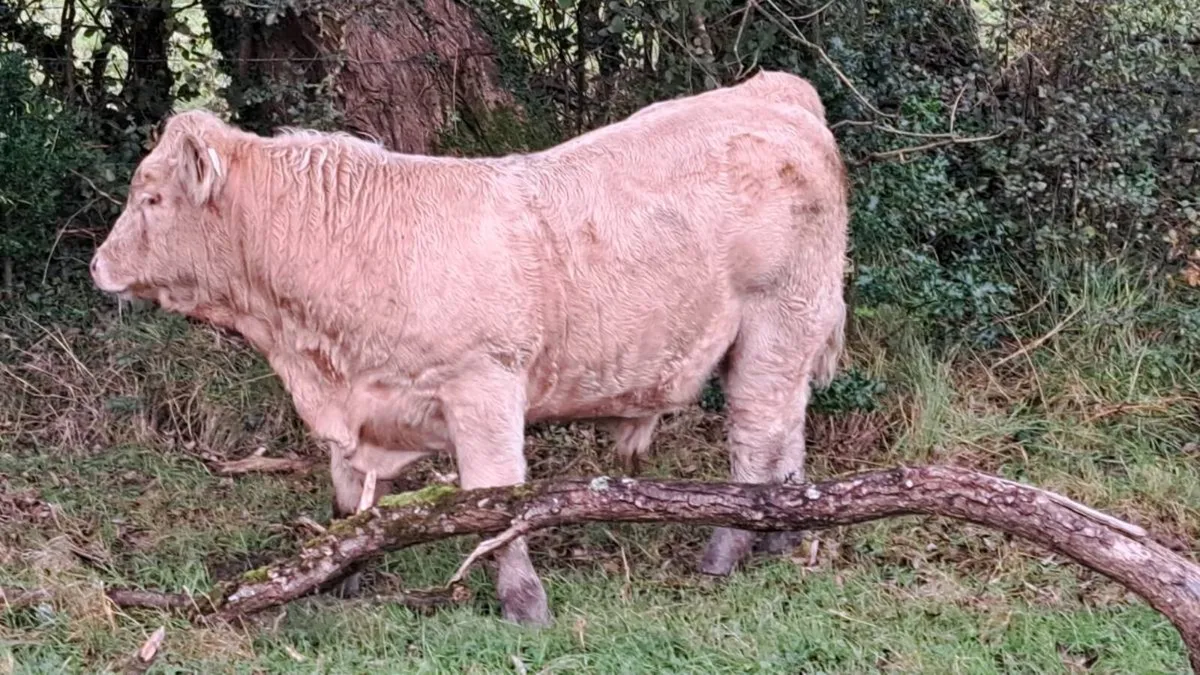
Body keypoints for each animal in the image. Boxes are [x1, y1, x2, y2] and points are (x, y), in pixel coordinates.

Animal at [89, 69, 849, 627]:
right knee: (787, 427)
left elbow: (496, 497)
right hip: (787, 334)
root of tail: (772, 90)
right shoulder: (361, 407)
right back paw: (786, 532)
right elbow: (348, 498)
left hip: (777, 319)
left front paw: (524, 603)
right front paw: (339, 573)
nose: (98, 264)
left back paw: (727, 548)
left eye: (152, 199)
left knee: (755, 436)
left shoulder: (483, 385)